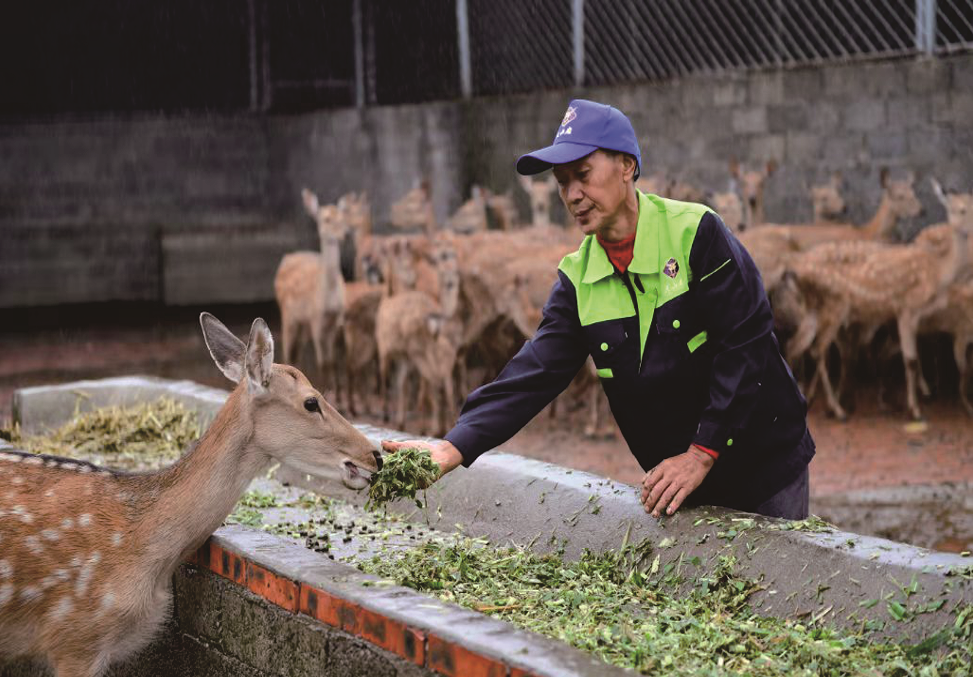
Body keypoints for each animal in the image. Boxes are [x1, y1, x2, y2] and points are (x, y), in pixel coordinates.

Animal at [274, 187, 350, 404]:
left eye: (343, 218)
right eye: (326, 219)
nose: (344, 234)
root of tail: (286, 258)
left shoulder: (335, 321)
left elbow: (331, 360)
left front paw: (337, 396)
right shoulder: (316, 320)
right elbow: (322, 362)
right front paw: (328, 393)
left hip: (302, 326)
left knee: (297, 352)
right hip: (288, 316)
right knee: (289, 350)